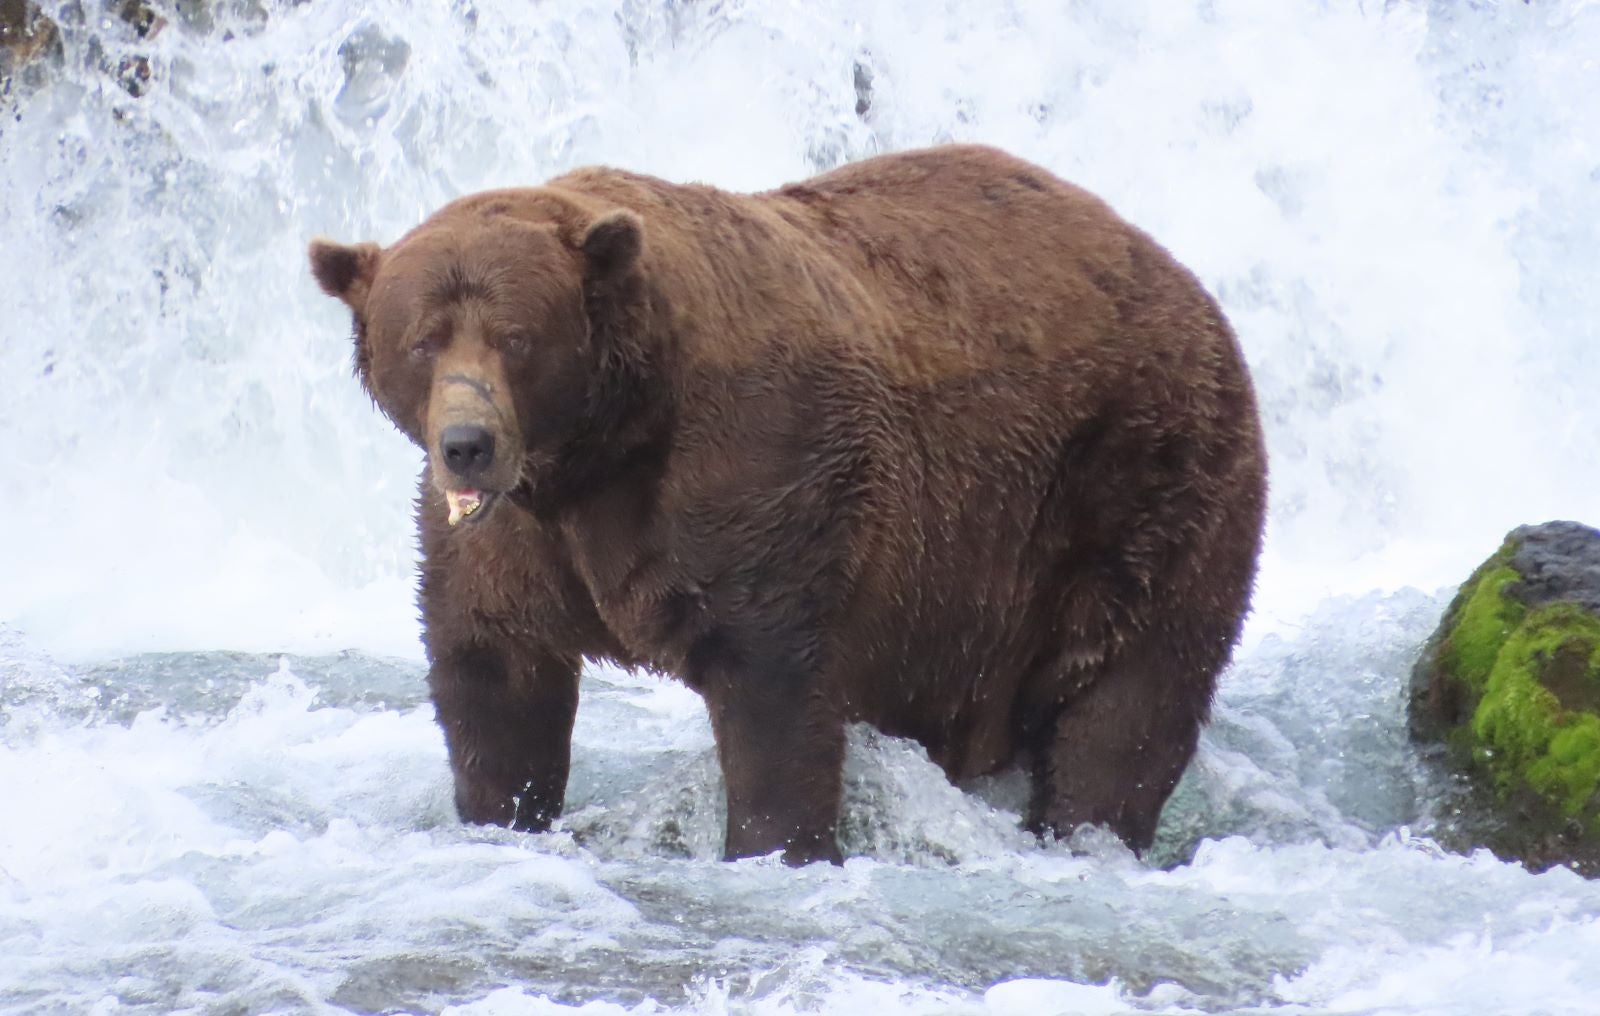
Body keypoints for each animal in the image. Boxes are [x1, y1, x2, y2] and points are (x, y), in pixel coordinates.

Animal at [309, 144, 1267, 866]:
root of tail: (1179, 275)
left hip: (1138, 480)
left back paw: (1087, 830)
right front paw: (502, 812)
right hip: (970, 594)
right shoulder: (511, 540)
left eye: (516, 337)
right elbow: (494, 673)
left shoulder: (758, 473)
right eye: (422, 340)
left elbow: (772, 686)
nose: (468, 442)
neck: (599, 451)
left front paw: (775, 845)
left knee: (1130, 697)